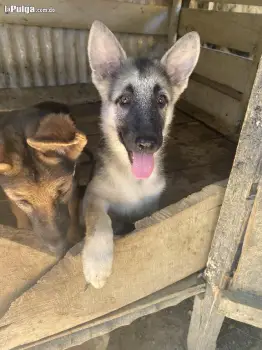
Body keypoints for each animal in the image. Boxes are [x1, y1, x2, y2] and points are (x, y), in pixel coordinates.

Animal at [82, 21, 201, 288]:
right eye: (124, 100)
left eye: (161, 100)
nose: (148, 143)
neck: (133, 180)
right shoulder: (93, 196)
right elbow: (98, 221)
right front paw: (96, 261)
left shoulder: (150, 206)